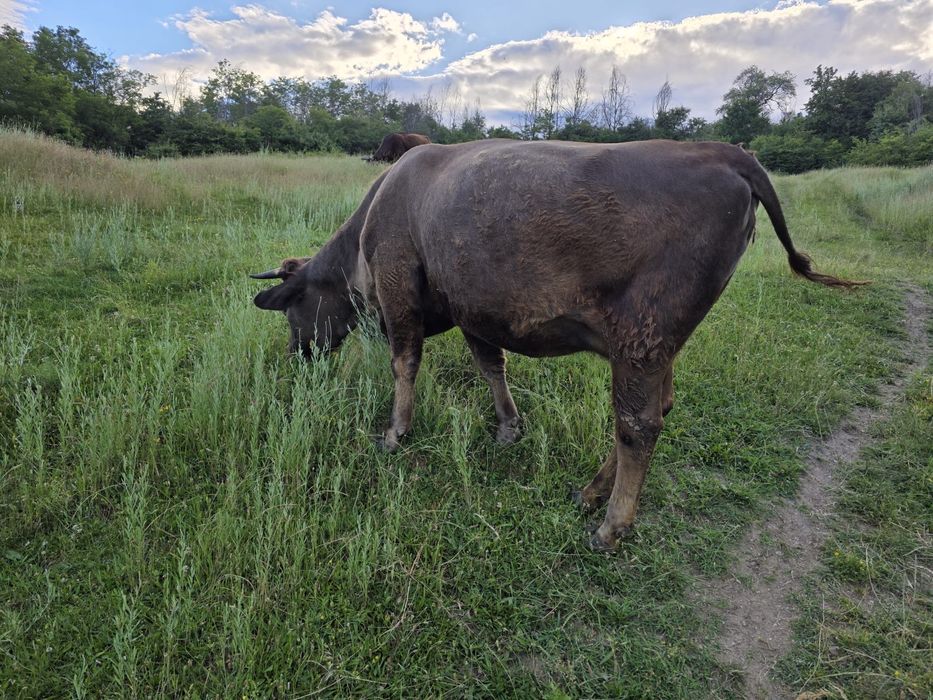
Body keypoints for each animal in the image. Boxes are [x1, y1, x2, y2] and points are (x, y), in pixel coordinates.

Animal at [250, 139, 863, 551]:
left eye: (292, 307)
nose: (296, 357)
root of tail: (723, 152)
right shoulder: (472, 306)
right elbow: (490, 364)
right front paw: (508, 426)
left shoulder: (399, 287)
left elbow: (405, 363)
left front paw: (395, 432)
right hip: (658, 346)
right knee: (657, 409)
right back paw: (591, 492)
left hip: (642, 335)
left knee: (637, 424)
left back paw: (612, 523)